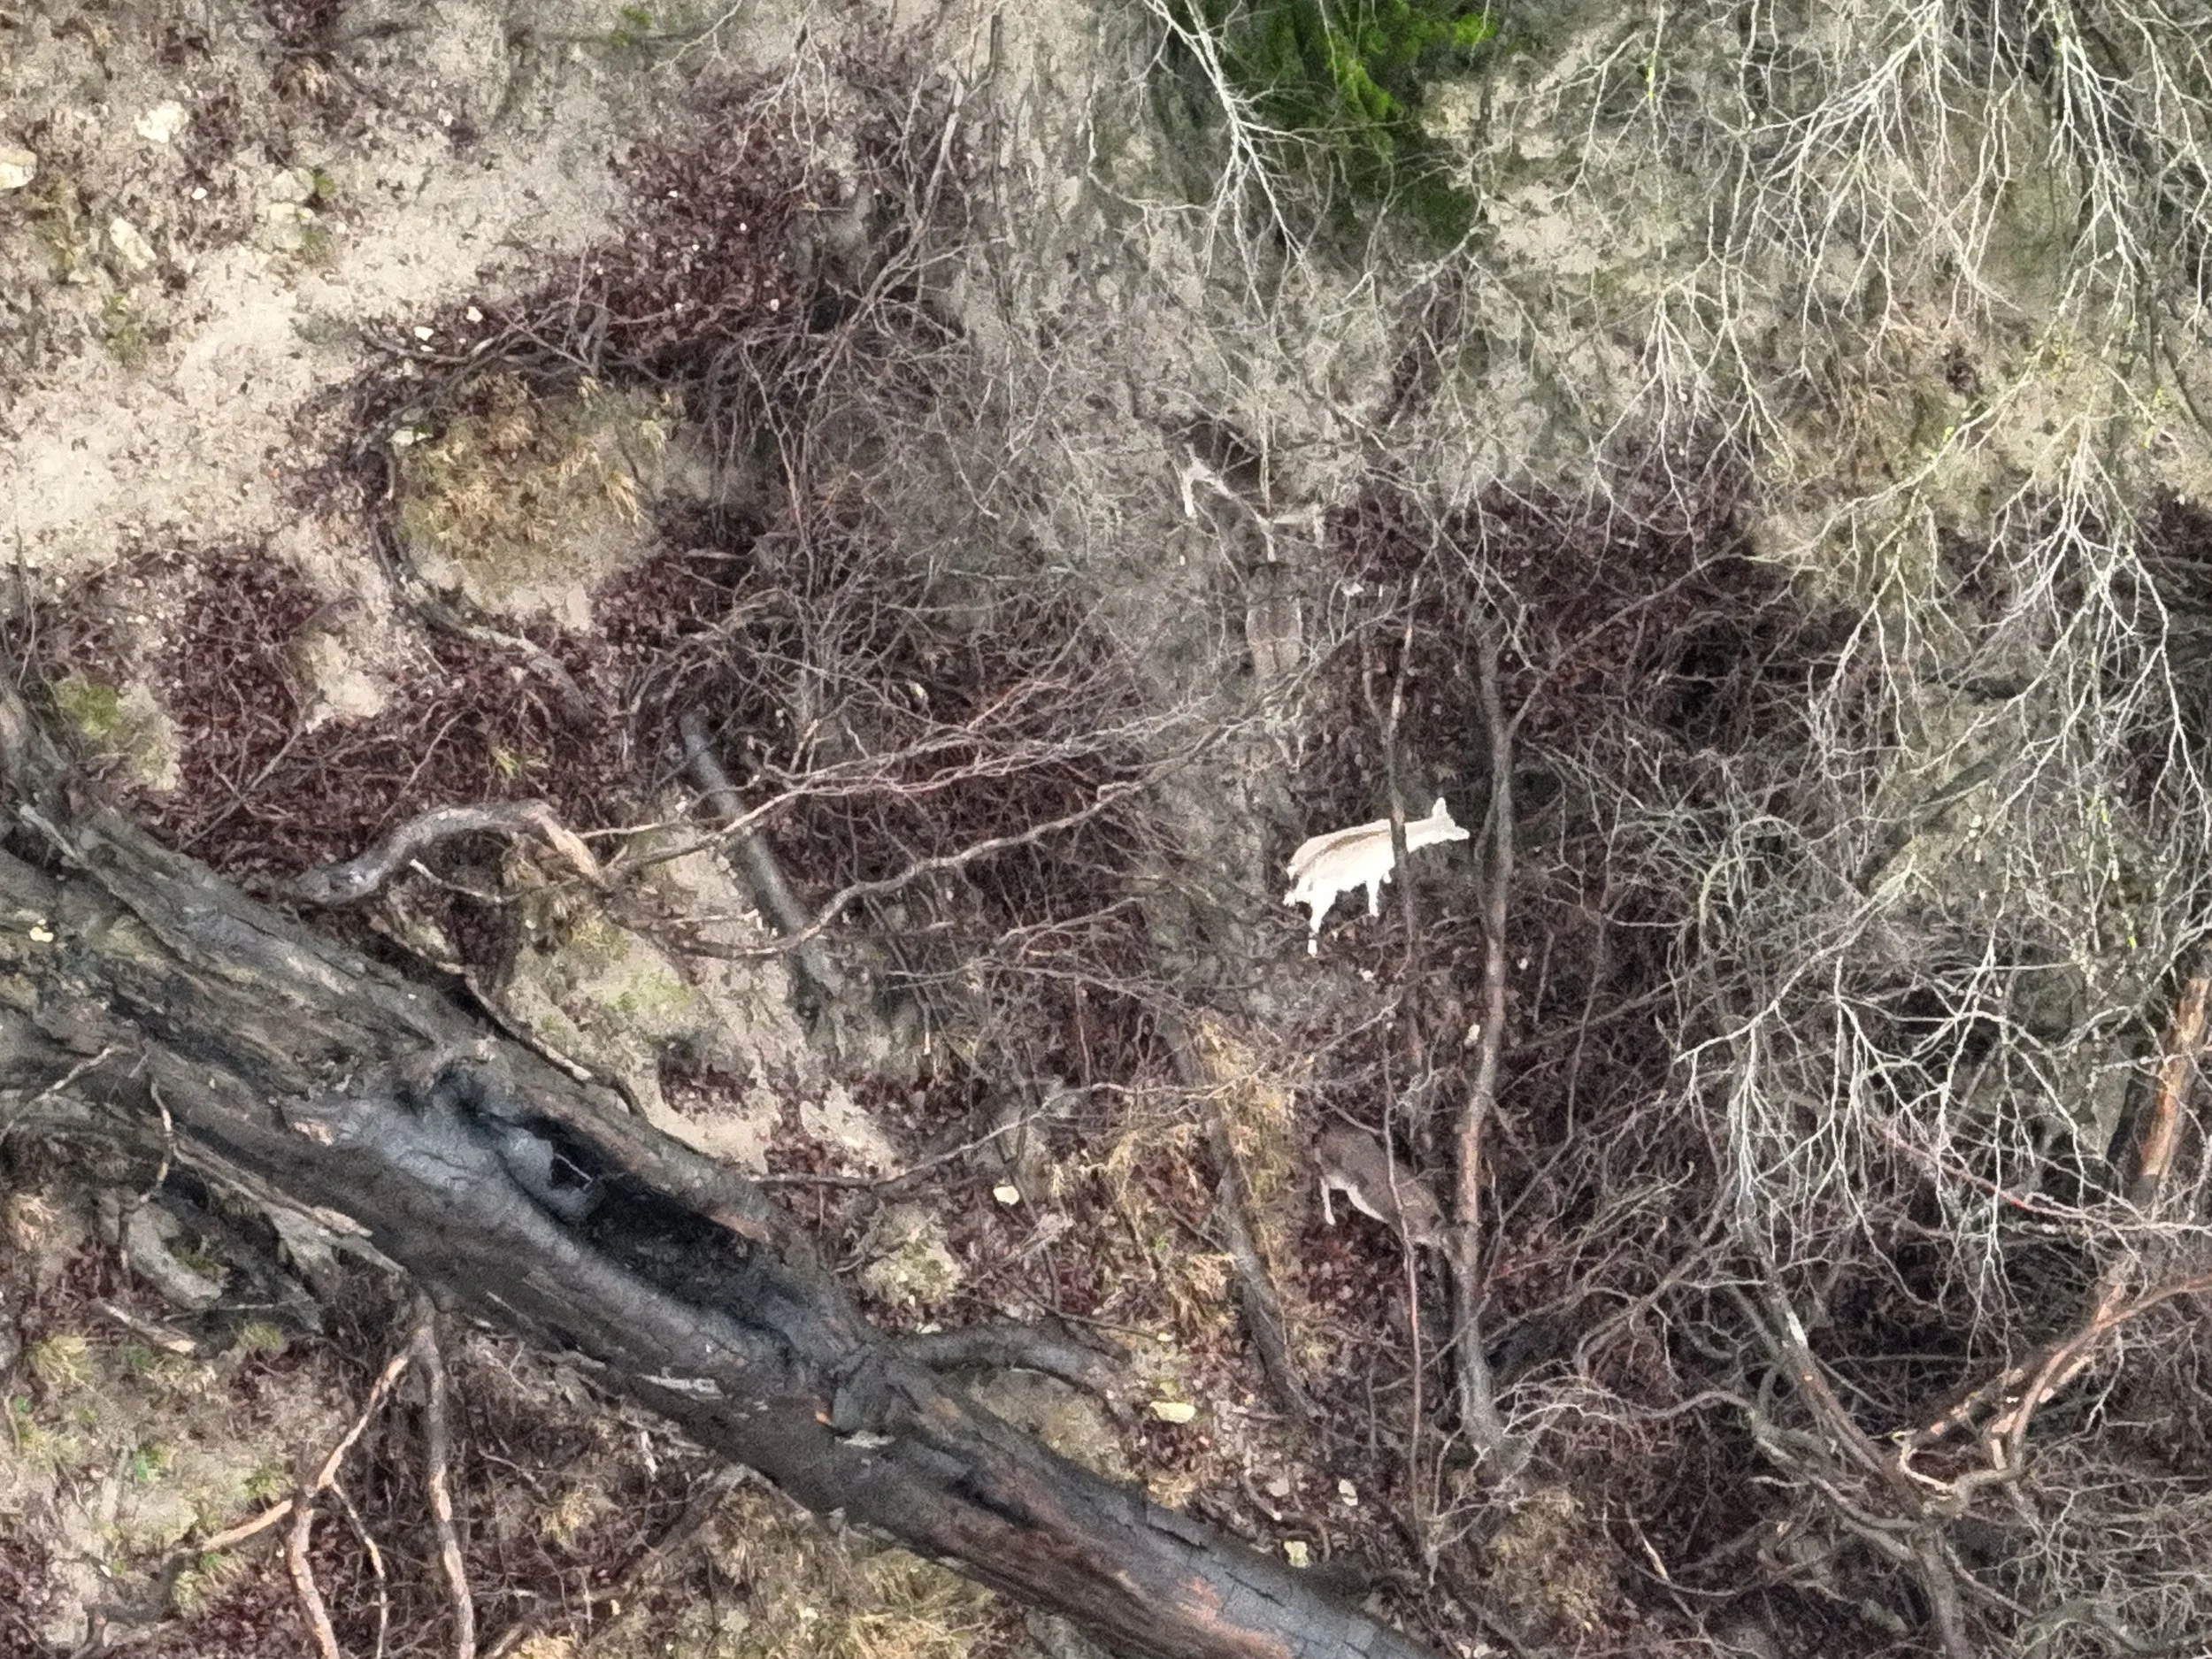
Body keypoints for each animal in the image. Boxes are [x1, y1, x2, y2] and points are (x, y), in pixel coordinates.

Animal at [1283, 797, 1468, 955]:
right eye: (1448, 831)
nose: (1464, 834)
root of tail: (1302, 870)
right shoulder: (1373, 872)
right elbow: (1372, 891)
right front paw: (1375, 912)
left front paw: (1388, 879)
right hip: (1324, 895)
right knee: (1313, 919)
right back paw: (1312, 950)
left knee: (1291, 893)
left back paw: (1289, 903)